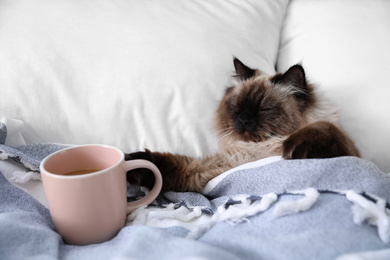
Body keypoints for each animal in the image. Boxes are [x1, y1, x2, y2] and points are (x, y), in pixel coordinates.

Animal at [125, 59, 360, 193]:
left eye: (264, 108)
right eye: (237, 107)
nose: (244, 120)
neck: (259, 149)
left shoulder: (352, 152)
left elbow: (324, 127)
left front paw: (294, 148)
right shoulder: (215, 169)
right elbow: (172, 167)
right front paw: (132, 163)